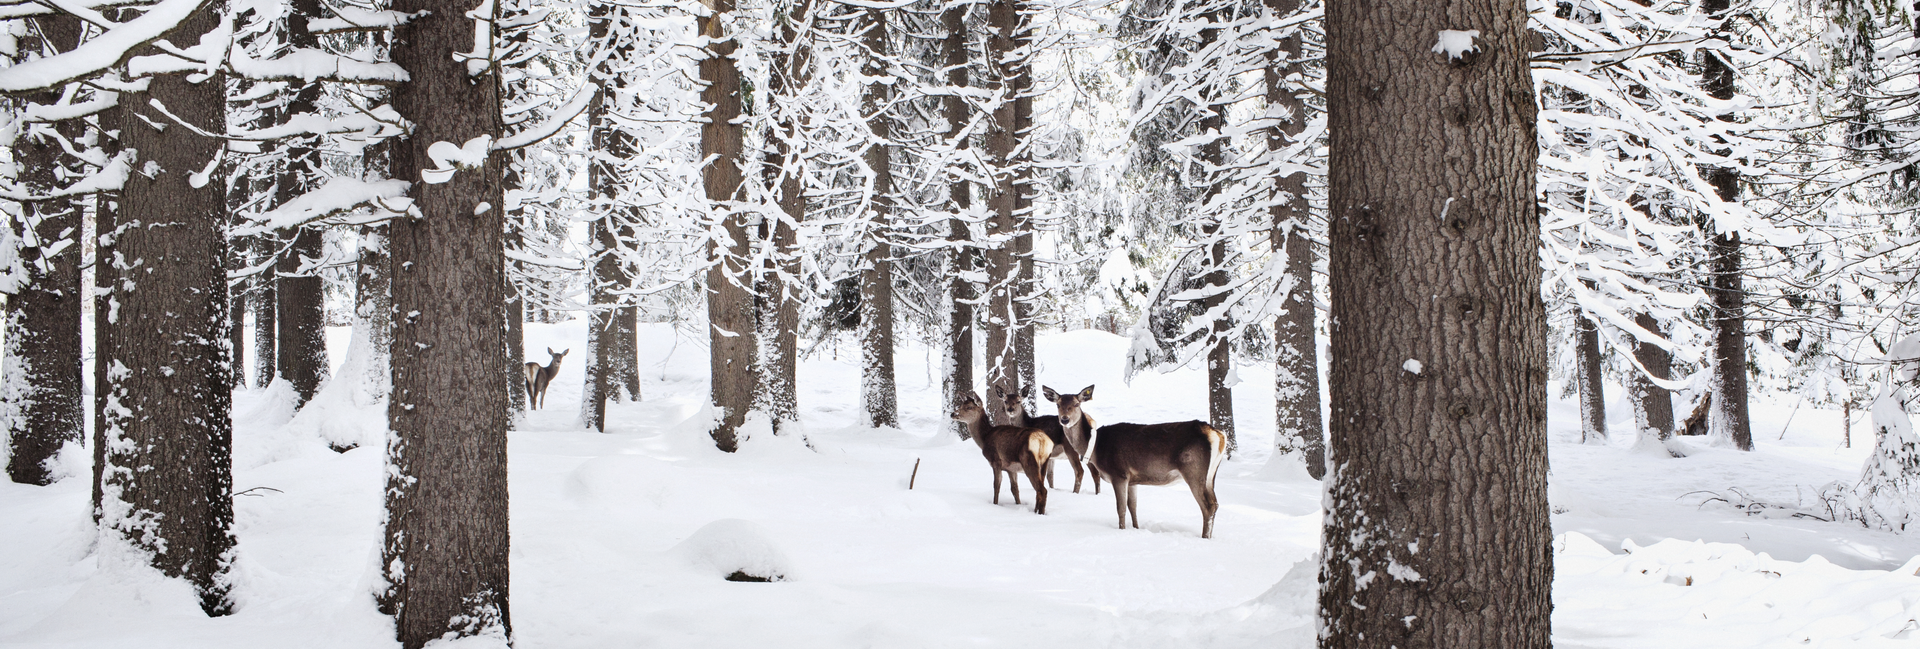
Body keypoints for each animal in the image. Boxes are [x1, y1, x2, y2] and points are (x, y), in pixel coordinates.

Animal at [1052, 385, 1228, 537]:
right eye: (1058, 404)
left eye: (1076, 404)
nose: (1064, 419)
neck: (1095, 446)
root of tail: (1218, 434)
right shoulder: (1132, 480)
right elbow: (1133, 507)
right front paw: (1136, 529)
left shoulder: (1119, 474)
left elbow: (1121, 508)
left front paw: (1122, 530)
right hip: (1210, 475)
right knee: (1215, 503)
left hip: (1193, 469)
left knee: (1208, 506)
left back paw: (1204, 537)